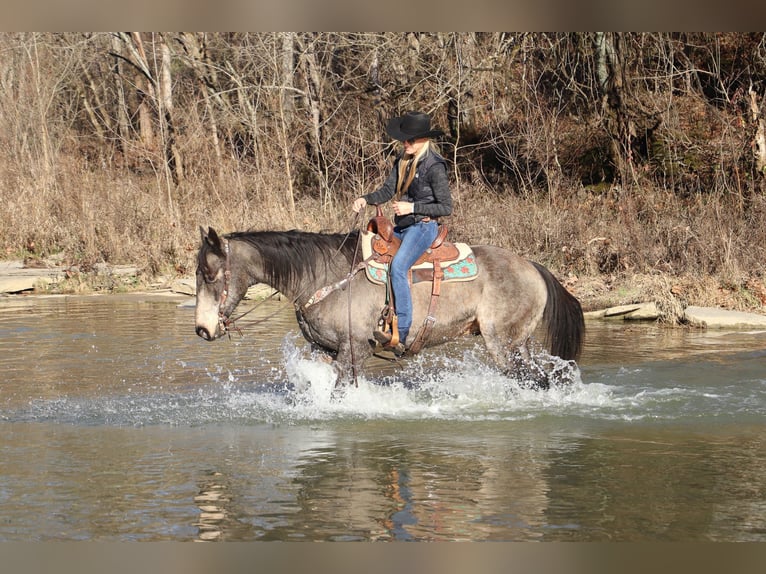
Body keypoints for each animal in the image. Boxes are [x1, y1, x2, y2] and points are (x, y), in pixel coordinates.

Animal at [195, 225, 584, 392]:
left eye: (210, 273)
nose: (202, 329)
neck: (323, 276)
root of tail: (532, 266)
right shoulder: (323, 349)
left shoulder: (353, 349)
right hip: (521, 345)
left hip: (502, 344)